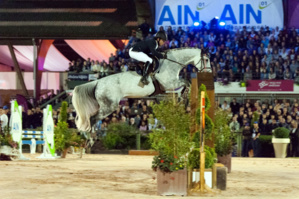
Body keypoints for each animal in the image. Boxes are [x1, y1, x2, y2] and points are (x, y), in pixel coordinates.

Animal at [73, 47, 212, 132]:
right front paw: (184, 99)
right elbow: (186, 83)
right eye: (206, 59)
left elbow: (183, 86)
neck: (172, 63)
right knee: (92, 118)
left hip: (103, 105)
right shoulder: (168, 84)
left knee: (91, 117)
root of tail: (98, 82)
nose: (209, 73)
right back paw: (90, 138)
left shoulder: (168, 87)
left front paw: (181, 100)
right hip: (109, 106)